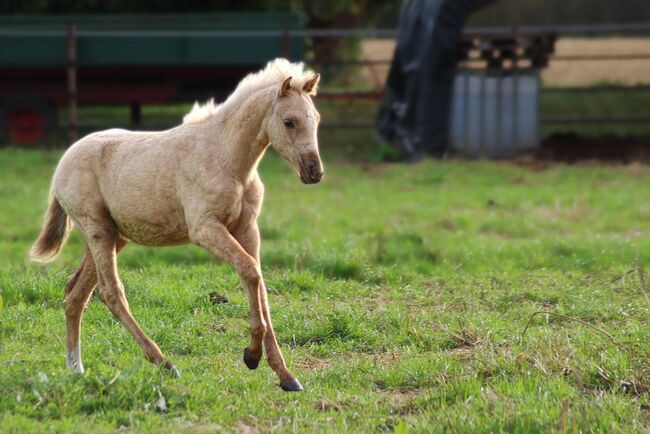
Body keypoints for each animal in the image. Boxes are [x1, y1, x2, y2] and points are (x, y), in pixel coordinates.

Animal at [30, 59, 322, 392]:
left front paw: (284, 374)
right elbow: (250, 271)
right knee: (109, 292)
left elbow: (259, 284)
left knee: (76, 294)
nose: (314, 171)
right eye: (289, 122)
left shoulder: (248, 228)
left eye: (316, 120)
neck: (227, 159)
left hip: (115, 236)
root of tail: (63, 162)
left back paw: (76, 368)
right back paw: (164, 363)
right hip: (98, 230)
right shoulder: (205, 228)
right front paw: (251, 355)